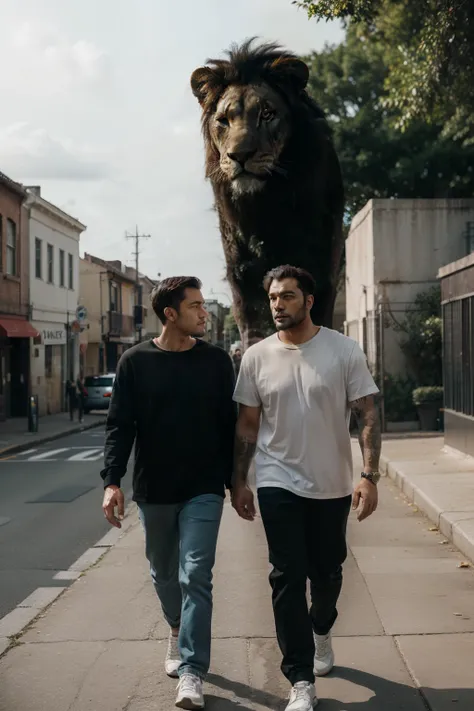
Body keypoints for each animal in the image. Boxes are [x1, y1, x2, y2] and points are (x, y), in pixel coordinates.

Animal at [190, 39, 344, 344]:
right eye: (223, 120)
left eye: (267, 114)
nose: (239, 155)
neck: (267, 205)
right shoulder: (243, 278)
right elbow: (254, 333)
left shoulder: (323, 271)